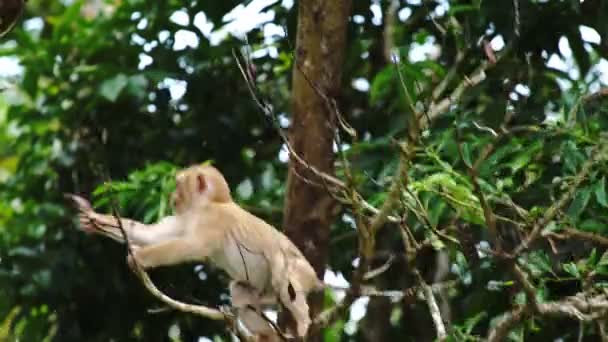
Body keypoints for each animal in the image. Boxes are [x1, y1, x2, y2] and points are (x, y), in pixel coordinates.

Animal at [67, 165, 324, 340]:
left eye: (179, 185)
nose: (172, 198)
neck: (209, 204)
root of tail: (315, 278)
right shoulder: (188, 217)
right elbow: (152, 235)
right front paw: (93, 219)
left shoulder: (211, 221)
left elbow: (190, 246)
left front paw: (138, 258)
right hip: (266, 293)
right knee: (241, 293)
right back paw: (266, 336)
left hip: (299, 272)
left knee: (283, 276)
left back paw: (303, 322)